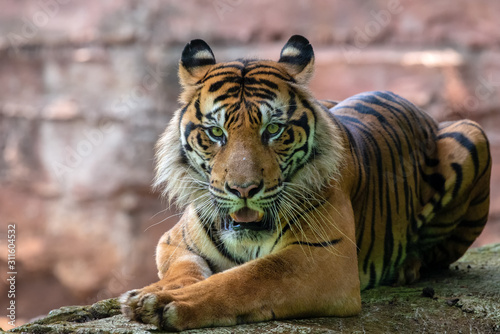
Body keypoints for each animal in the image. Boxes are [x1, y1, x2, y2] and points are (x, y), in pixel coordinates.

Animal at [119, 35, 490, 330]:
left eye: (273, 130)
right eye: (216, 132)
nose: (243, 190)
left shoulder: (325, 258)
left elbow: (245, 279)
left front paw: (168, 304)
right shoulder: (174, 241)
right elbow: (185, 269)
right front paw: (151, 294)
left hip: (472, 134)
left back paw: (407, 267)